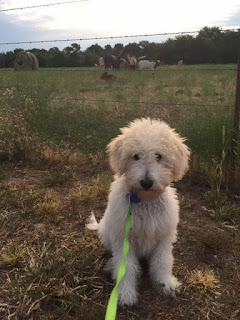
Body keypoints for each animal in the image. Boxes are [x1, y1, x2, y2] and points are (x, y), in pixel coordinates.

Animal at [93, 117, 190, 304]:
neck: (145, 200)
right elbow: (126, 267)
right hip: (106, 233)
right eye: (136, 156)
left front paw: (165, 284)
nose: (146, 182)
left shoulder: (164, 237)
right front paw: (125, 293)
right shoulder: (124, 240)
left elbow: (162, 262)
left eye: (158, 156)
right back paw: (110, 265)